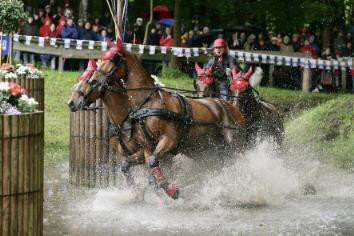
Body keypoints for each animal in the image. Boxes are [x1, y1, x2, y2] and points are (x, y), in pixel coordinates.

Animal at [68, 43, 246, 199]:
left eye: (113, 60)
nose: (72, 103)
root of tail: (233, 108)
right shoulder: (147, 147)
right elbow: (137, 168)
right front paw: (140, 192)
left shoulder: (168, 141)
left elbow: (153, 165)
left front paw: (171, 190)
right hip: (204, 149)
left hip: (232, 145)